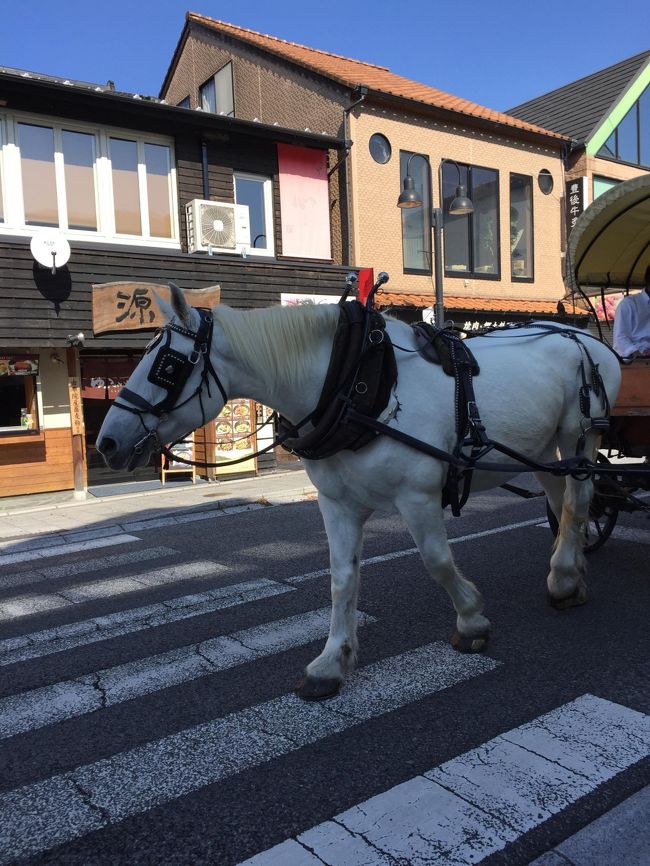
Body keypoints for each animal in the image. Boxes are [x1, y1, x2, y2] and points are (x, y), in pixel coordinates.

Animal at [96, 286, 616, 700]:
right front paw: (332, 662)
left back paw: (564, 578)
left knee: (578, 503)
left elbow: (437, 562)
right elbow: (342, 579)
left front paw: (470, 620)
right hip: (539, 447)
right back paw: (570, 572)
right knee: (560, 502)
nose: (107, 443)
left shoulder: (418, 496)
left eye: (166, 365)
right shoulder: (337, 504)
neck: (356, 388)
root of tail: (586, 336)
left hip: (580, 435)